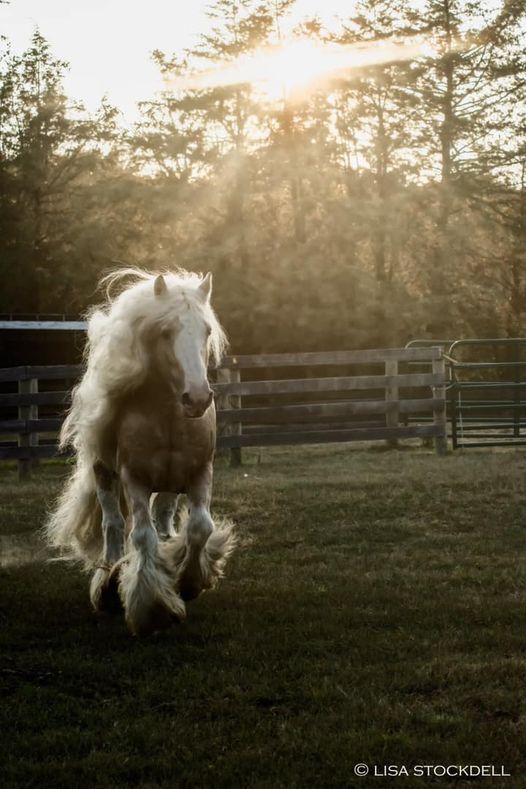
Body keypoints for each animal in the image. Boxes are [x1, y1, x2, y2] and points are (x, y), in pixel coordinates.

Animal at [45, 268, 235, 636]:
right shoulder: (135, 479)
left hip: (170, 484)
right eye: (165, 332)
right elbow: (142, 536)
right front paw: (153, 608)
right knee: (114, 525)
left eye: (206, 331)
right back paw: (108, 583)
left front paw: (189, 582)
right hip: (105, 475)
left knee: (163, 517)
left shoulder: (199, 473)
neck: (168, 417)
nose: (197, 399)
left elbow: (200, 527)